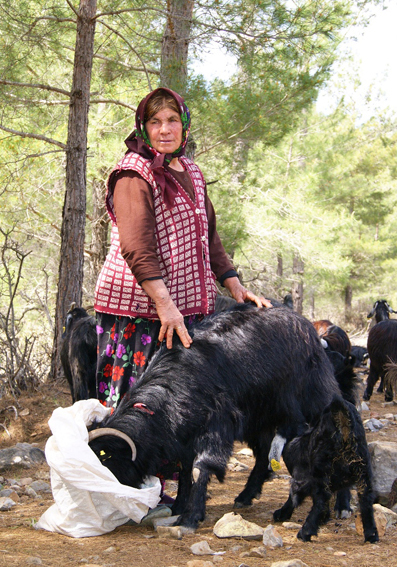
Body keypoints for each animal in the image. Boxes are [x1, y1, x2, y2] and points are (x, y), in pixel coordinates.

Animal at [88, 306, 358, 532]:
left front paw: (190, 517)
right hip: (261, 417)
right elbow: (185, 470)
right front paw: (179, 507)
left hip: (316, 401)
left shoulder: (216, 424)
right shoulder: (185, 433)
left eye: (106, 460)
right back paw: (246, 495)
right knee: (263, 456)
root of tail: (308, 327)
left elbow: (201, 467)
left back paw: (342, 506)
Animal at [272, 398, 378, 544]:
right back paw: (371, 535)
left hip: (322, 470)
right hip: (363, 469)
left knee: (321, 500)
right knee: (366, 499)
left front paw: (282, 513)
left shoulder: (303, 478)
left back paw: (305, 532)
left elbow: (294, 495)